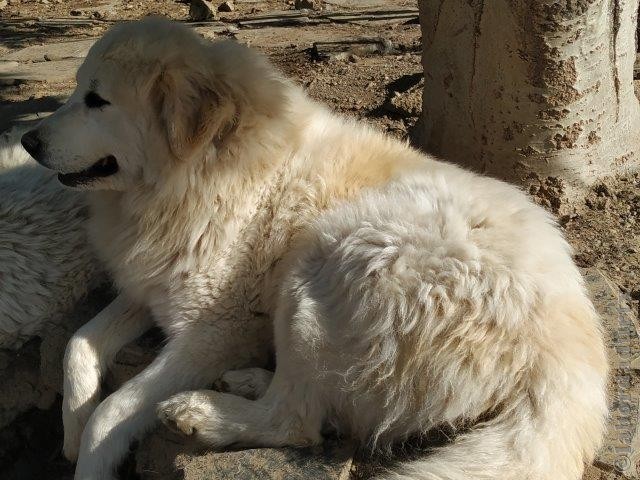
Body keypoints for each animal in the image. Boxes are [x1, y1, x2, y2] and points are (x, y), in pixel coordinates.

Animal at [20, 18, 608, 480]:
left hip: (328, 260)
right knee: (315, 404)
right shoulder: (149, 289)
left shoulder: (215, 329)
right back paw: (248, 379)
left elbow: (115, 410)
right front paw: (70, 427)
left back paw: (201, 411)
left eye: (97, 100)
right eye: (75, 91)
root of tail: (564, 352)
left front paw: (89, 454)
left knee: (298, 421)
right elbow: (78, 344)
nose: (27, 141)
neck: (204, 171)